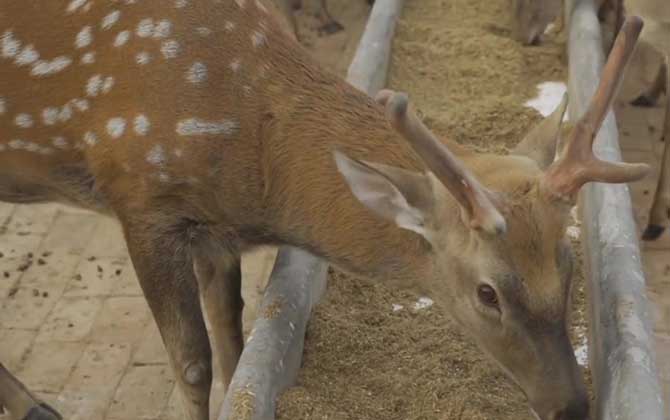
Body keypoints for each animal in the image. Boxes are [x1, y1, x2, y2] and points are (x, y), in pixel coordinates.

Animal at [0, 1, 652, 418]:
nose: (572, 406)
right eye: (486, 292)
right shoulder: (141, 199)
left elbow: (234, 343)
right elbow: (192, 364)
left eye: (569, 265)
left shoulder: (214, 229)